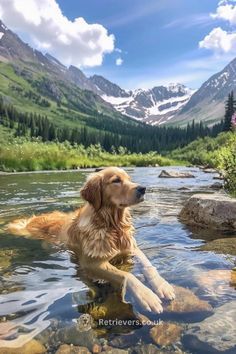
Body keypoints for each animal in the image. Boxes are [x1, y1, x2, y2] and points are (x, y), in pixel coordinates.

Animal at [6, 167, 175, 314]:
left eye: (129, 179)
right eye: (116, 180)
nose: (143, 189)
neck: (112, 226)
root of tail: (35, 218)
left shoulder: (132, 248)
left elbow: (149, 266)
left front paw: (163, 286)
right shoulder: (91, 262)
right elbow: (126, 275)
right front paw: (147, 295)